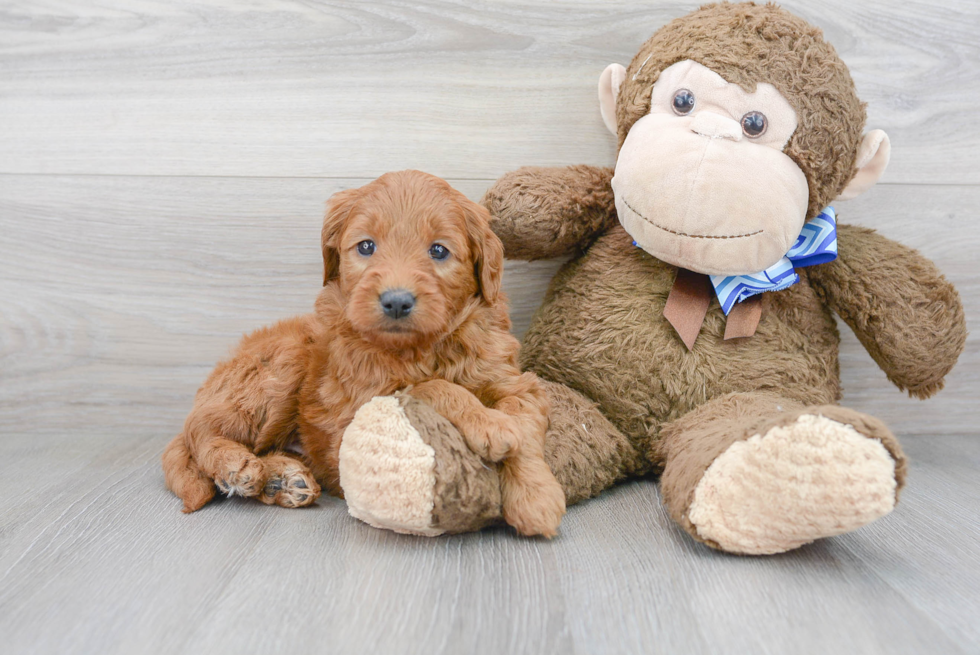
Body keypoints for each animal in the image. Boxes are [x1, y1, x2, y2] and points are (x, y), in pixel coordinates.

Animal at [163, 169, 568, 540]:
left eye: (438, 250)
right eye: (366, 246)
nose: (396, 301)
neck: (422, 348)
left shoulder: (513, 381)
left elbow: (524, 424)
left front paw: (536, 497)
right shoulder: (357, 409)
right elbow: (431, 387)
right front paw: (489, 424)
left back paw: (283, 479)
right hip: (282, 364)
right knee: (196, 432)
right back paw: (236, 465)